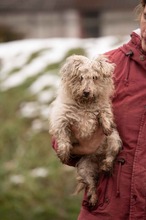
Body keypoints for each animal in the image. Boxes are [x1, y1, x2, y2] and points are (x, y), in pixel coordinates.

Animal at [49, 54, 121, 206]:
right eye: (81, 77)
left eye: (94, 77)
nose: (86, 92)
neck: (85, 104)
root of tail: (98, 160)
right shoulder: (61, 119)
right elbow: (63, 138)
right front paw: (63, 153)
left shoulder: (103, 107)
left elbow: (104, 114)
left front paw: (106, 126)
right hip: (84, 168)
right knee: (91, 184)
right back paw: (93, 198)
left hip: (115, 141)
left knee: (110, 156)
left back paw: (106, 165)